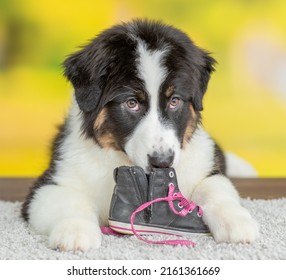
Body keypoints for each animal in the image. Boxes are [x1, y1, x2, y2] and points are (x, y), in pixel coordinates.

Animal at [21, 19, 260, 252]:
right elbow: (68, 201)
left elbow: (215, 188)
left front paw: (236, 222)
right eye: (131, 103)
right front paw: (75, 232)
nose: (162, 162)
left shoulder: (202, 167)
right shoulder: (49, 184)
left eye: (174, 101)